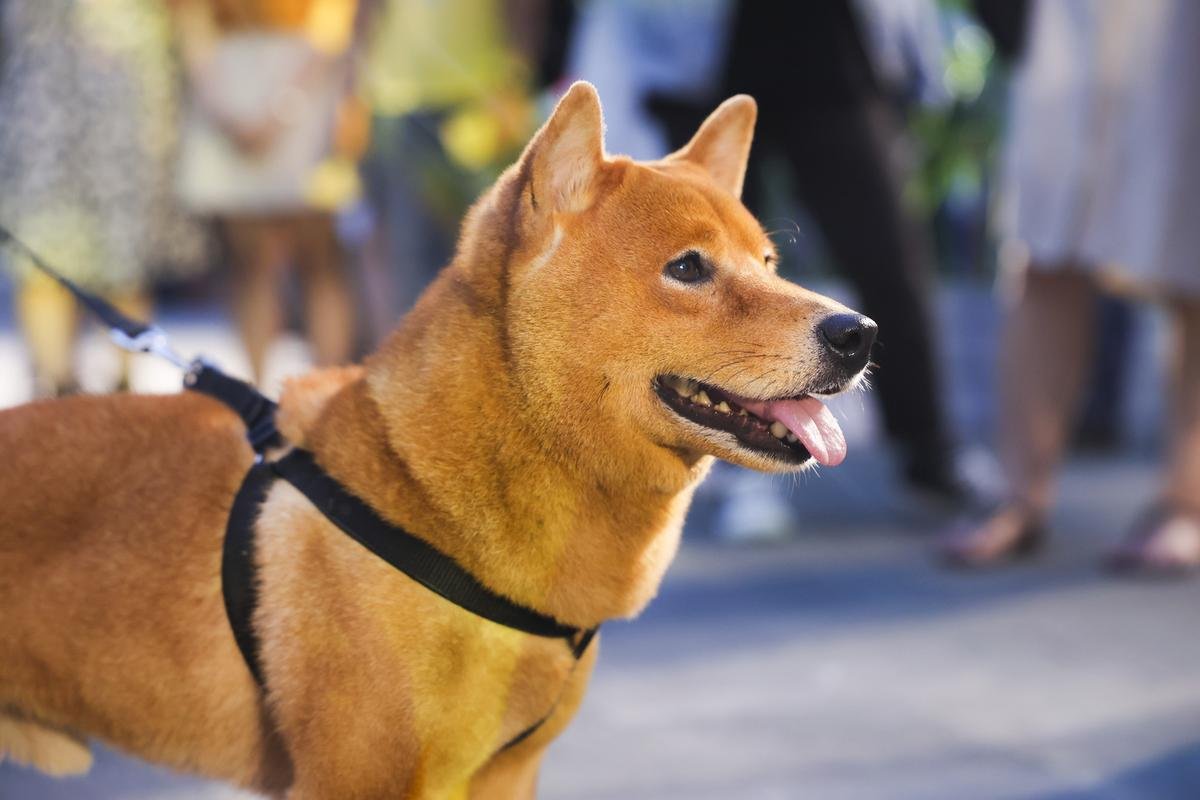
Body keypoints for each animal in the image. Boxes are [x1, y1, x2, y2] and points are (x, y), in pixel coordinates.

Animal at [4, 84, 878, 796]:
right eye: (689, 268)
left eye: (768, 261)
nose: (859, 332)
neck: (424, 493)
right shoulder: (353, 780)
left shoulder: (504, 776)